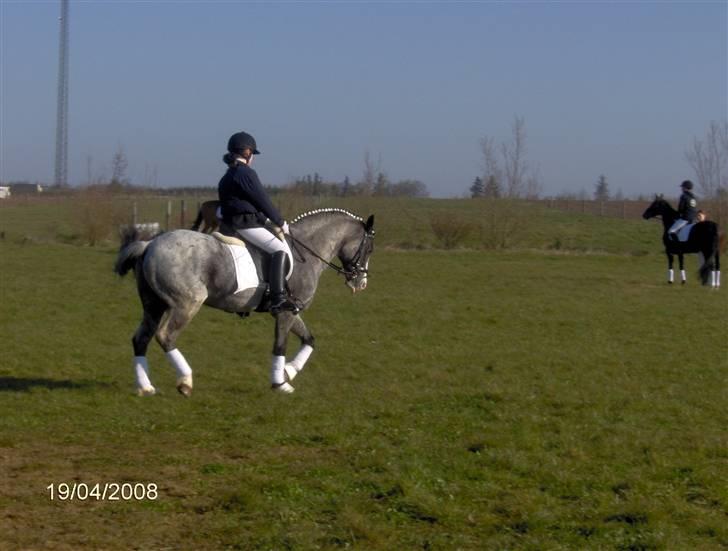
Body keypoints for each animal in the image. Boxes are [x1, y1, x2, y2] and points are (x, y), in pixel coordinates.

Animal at [115, 209, 376, 394]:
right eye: (369, 249)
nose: (361, 283)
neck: (307, 253)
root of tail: (149, 244)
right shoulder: (285, 313)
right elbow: (280, 345)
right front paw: (280, 383)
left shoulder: (292, 310)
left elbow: (309, 340)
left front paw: (289, 372)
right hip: (186, 304)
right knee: (165, 336)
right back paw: (185, 382)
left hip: (154, 305)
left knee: (141, 339)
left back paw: (145, 387)